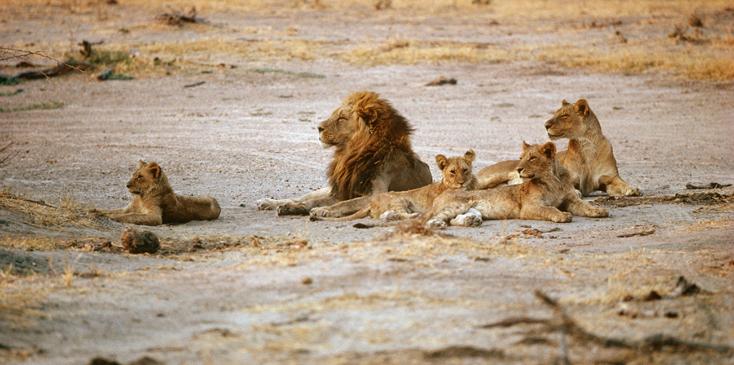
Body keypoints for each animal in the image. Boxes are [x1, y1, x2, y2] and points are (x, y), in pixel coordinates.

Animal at [258, 91, 434, 215]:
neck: (351, 153)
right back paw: (271, 203)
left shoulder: (377, 194)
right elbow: (314, 201)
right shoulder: (341, 192)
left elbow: (344, 203)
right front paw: (297, 207)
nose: (318, 128)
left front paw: (324, 211)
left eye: (341, 118)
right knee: (302, 197)